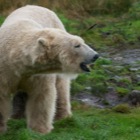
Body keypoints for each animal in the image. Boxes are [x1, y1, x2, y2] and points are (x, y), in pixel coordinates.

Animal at [0, 5, 98, 133]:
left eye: (82, 42)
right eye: (77, 45)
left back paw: (63, 116)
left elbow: (41, 96)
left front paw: (39, 130)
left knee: (61, 88)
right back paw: (16, 116)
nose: (95, 55)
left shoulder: (38, 74)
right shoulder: (5, 71)